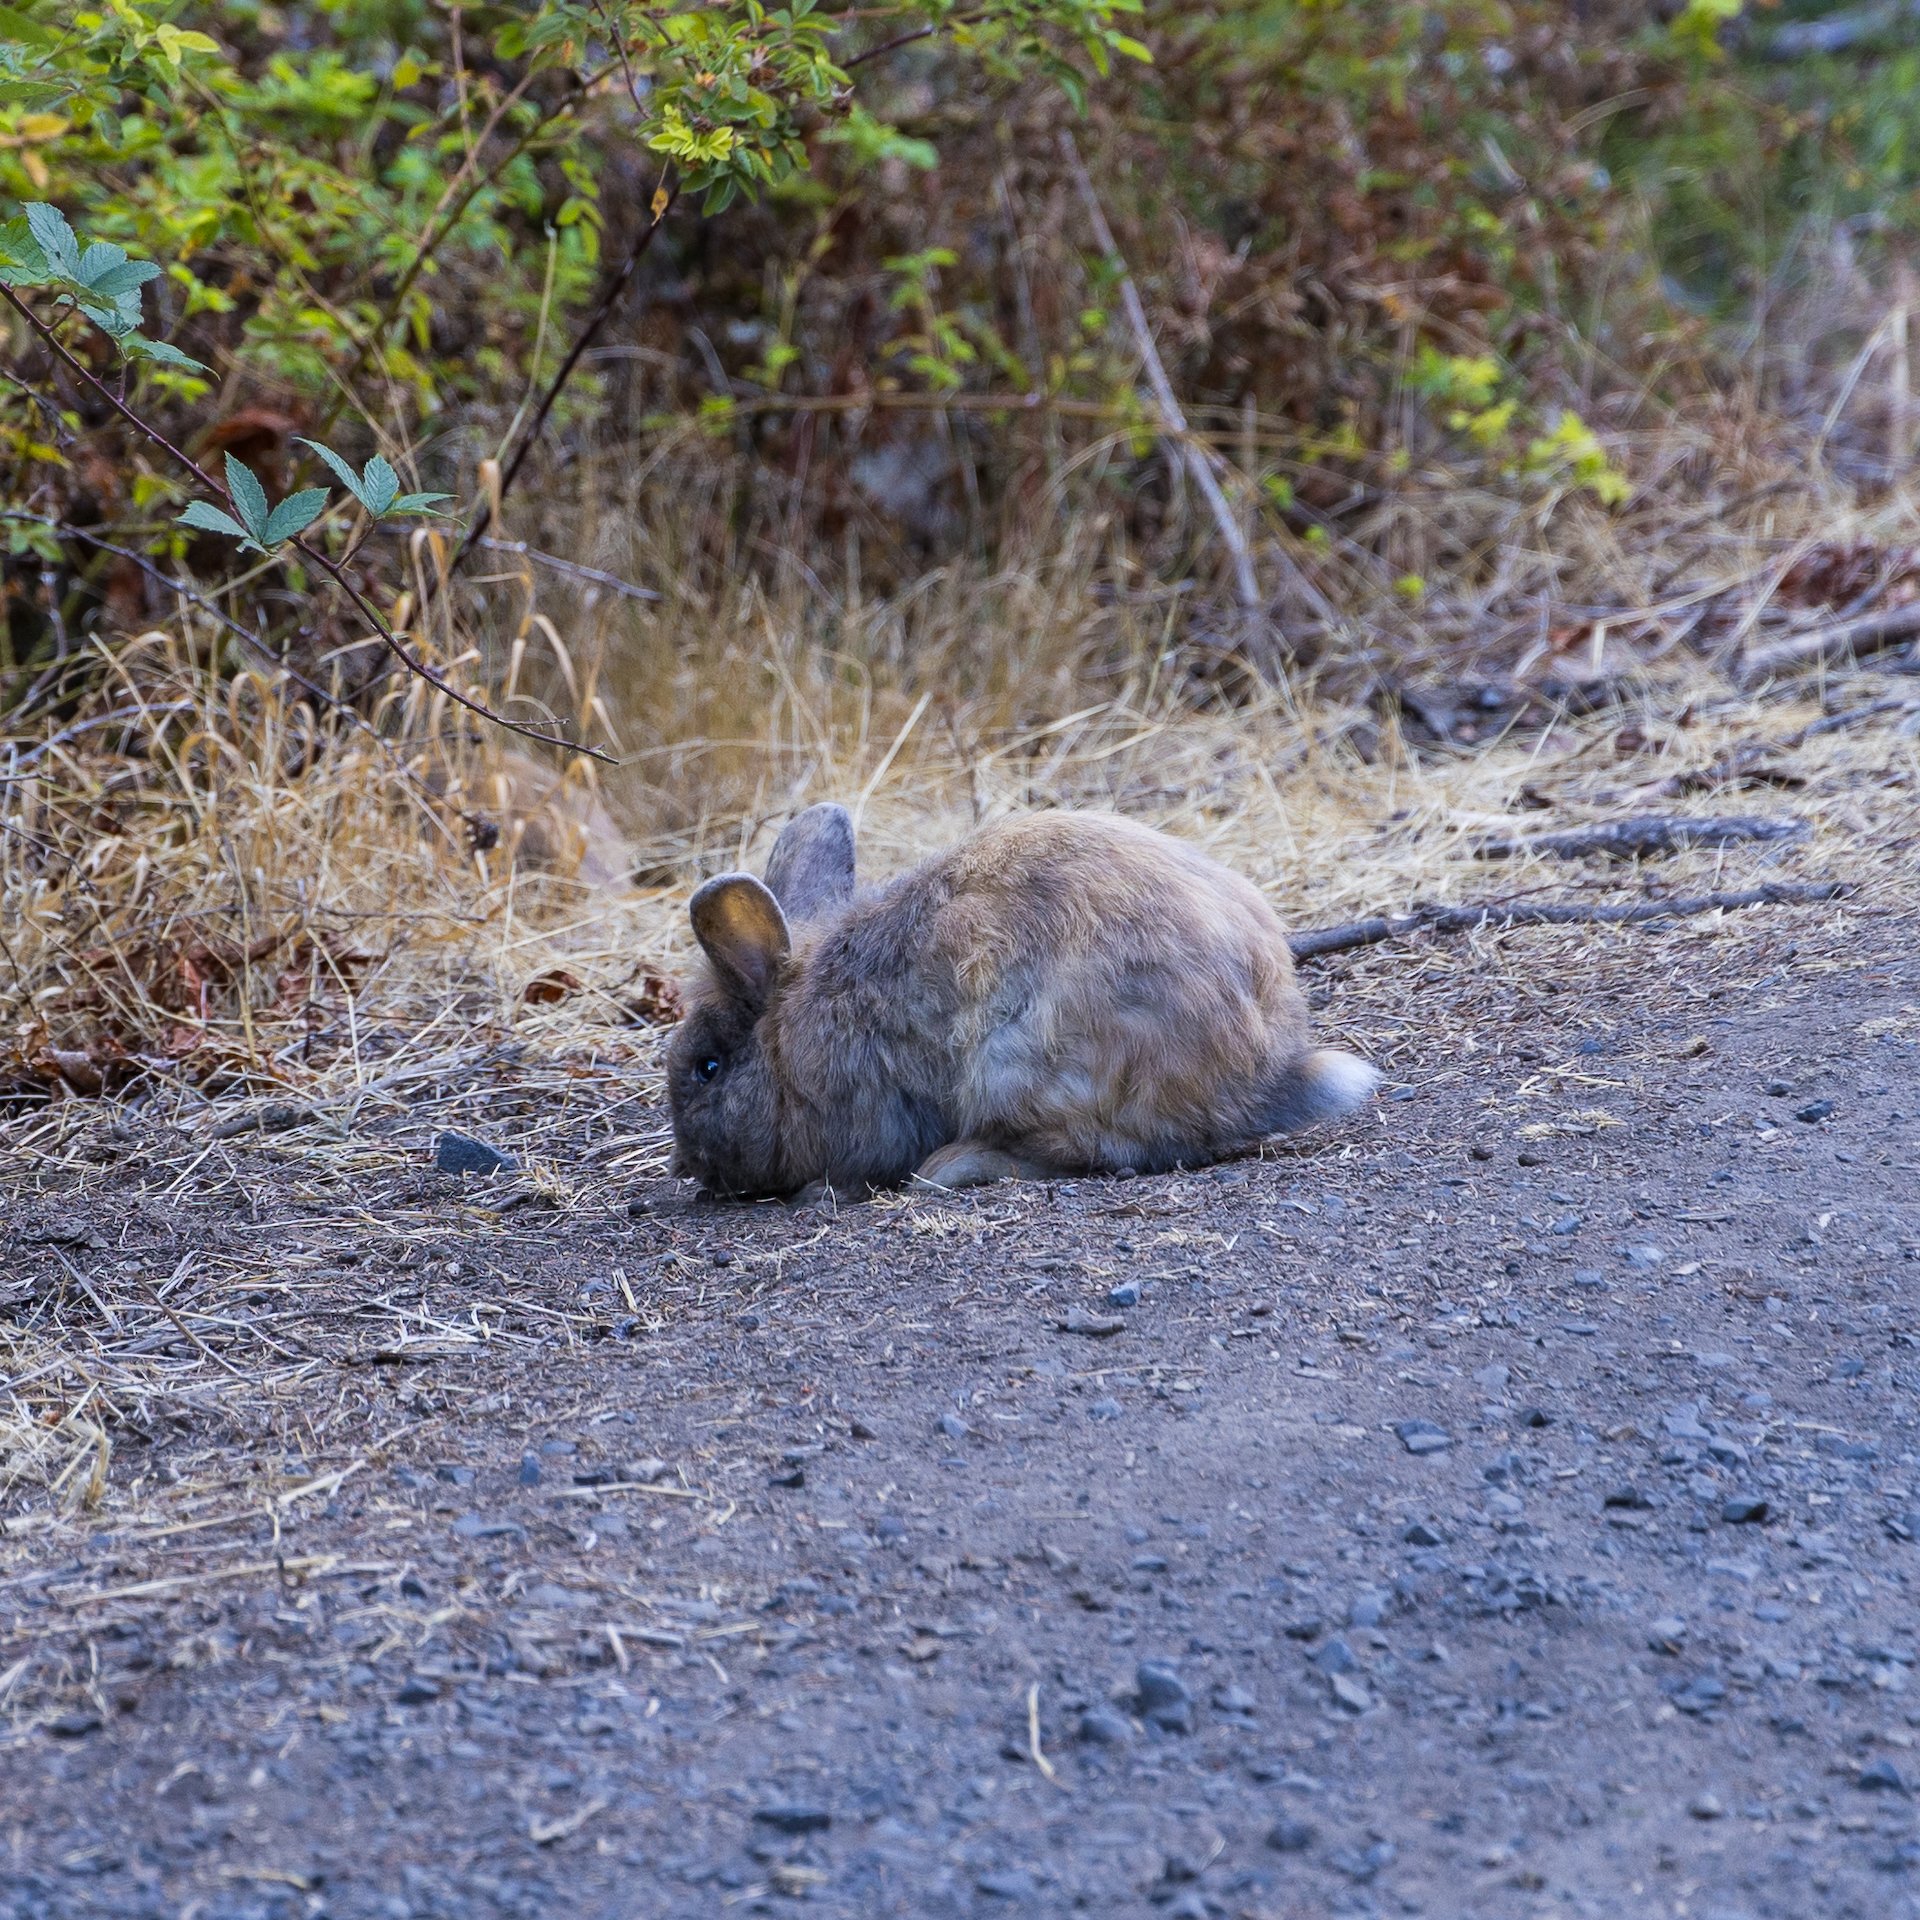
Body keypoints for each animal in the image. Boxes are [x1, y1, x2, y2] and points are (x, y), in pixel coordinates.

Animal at [668, 802, 1374, 1190]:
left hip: (1020, 1066)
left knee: (1093, 1152)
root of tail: (1259, 1076)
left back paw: (950, 1166)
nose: (685, 1168)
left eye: (708, 1068)